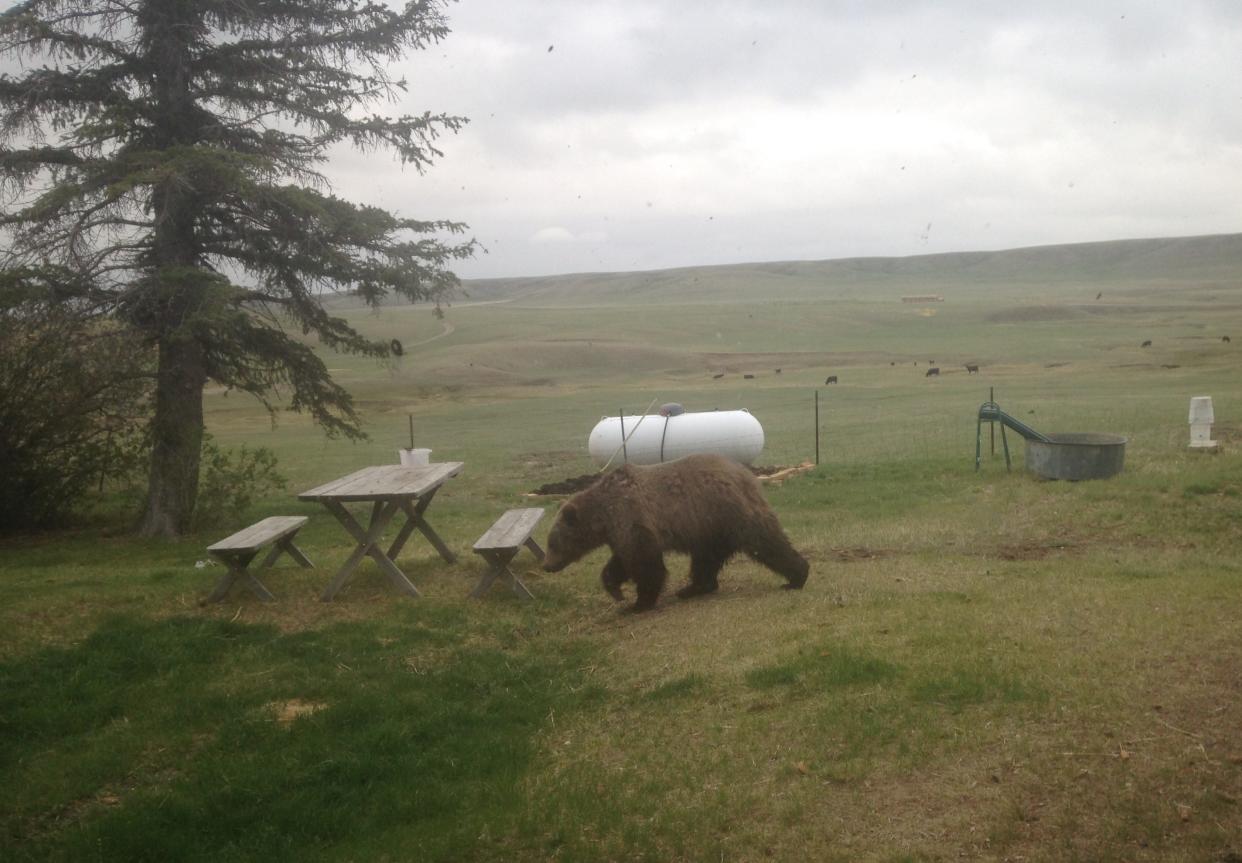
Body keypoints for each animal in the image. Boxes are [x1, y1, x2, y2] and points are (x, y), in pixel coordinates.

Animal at [539, 456, 809, 610]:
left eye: (552, 543)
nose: (546, 565)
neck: (603, 516)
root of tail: (747, 475)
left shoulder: (632, 518)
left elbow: (645, 563)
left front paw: (639, 603)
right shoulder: (620, 532)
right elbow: (621, 561)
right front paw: (616, 590)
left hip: (728, 513)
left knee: (766, 543)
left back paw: (797, 576)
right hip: (709, 529)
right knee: (705, 560)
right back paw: (692, 588)